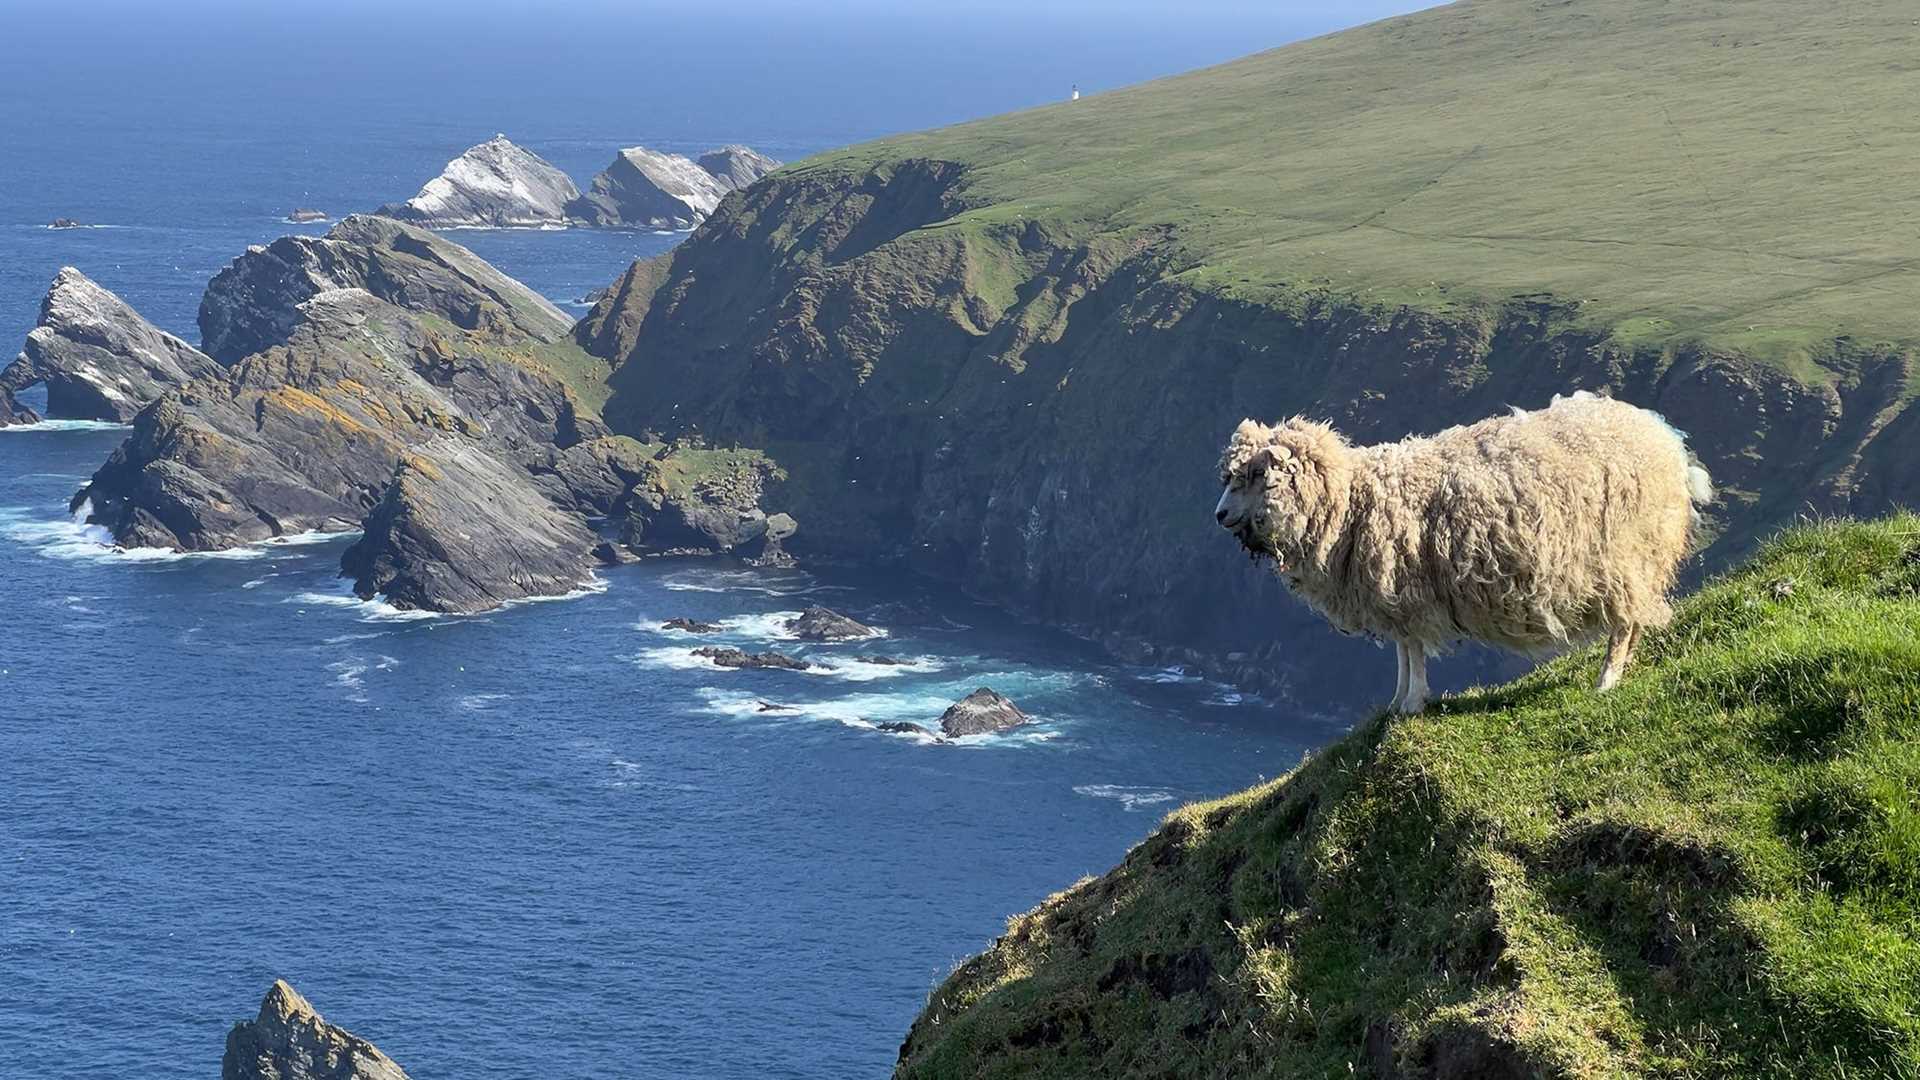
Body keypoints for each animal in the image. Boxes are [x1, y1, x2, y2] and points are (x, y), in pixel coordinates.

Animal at [1213, 390, 1712, 711]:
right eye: (1231, 475)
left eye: (1257, 475)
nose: (1218, 515)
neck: (1350, 500)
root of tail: (1667, 439)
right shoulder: (1395, 596)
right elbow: (1402, 650)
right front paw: (1396, 701)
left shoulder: (1408, 590)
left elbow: (1413, 649)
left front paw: (1411, 703)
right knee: (1635, 621)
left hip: (1627, 554)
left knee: (1624, 624)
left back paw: (1606, 682)